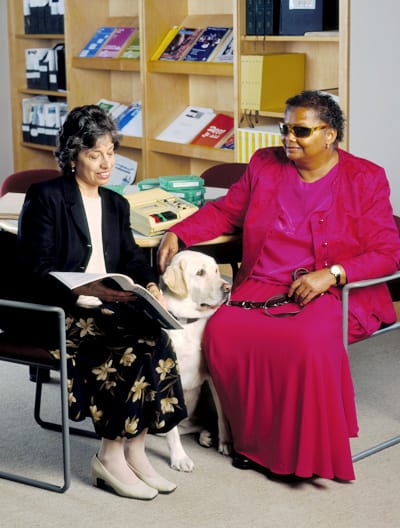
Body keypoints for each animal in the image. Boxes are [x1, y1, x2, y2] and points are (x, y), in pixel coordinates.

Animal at [160, 250, 231, 472]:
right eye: (200, 273)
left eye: (216, 270)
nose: (228, 288)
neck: (189, 324)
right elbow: (172, 432)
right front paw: (179, 458)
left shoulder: (213, 376)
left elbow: (223, 414)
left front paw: (225, 442)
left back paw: (207, 435)